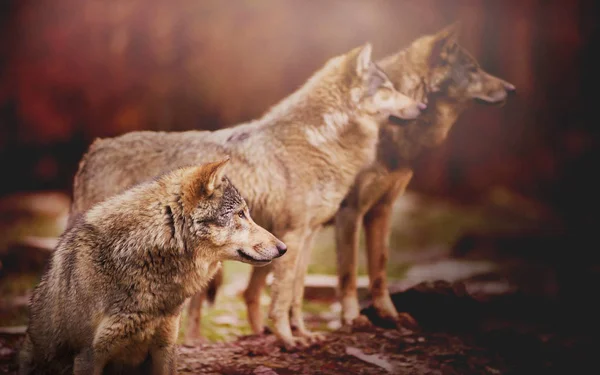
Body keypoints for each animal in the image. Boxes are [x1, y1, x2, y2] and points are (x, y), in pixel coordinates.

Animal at [68, 44, 426, 350]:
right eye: (388, 89)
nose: (422, 106)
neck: (319, 141)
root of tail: (94, 149)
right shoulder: (295, 233)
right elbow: (282, 296)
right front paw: (287, 340)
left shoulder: (308, 235)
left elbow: (296, 294)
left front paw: (303, 334)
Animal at [239, 23, 516, 334]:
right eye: (473, 69)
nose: (512, 89)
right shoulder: (351, 212)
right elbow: (348, 272)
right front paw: (353, 318)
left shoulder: (383, 209)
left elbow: (379, 268)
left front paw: (389, 315)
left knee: (252, 292)